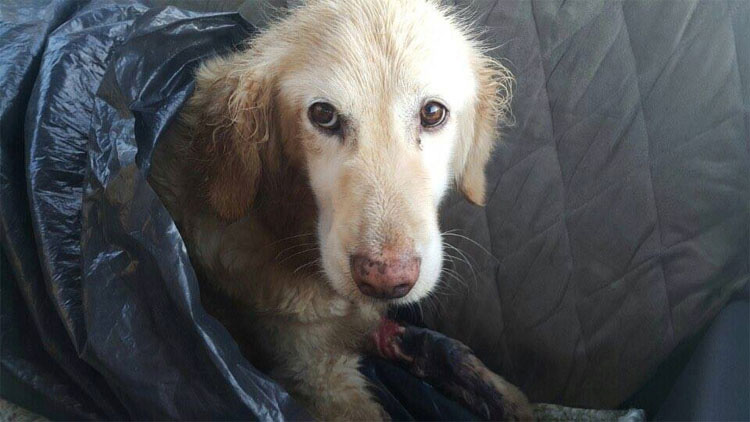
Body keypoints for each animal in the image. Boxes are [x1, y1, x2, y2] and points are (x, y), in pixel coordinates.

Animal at [150, 0, 532, 418]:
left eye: (432, 113)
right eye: (324, 114)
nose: (386, 279)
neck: (286, 227)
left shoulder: (374, 327)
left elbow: (455, 356)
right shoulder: (316, 370)